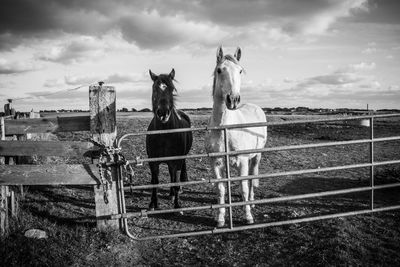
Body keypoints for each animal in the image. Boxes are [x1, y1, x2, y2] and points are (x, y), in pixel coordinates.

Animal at [146, 69, 193, 211]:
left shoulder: (176, 160)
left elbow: (176, 181)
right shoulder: (153, 162)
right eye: (154, 88)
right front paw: (153, 204)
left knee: (176, 175)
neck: (163, 134)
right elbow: (155, 182)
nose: (163, 113)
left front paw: (177, 205)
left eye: (172, 89)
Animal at [205, 46, 268, 228]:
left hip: (256, 156)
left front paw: (248, 216)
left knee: (252, 177)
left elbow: (244, 188)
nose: (233, 100)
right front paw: (220, 218)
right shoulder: (216, 163)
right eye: (219, 70)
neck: (225, 129)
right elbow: (221, 190)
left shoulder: (242, 162)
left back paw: (251, 202)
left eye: (240, 71)